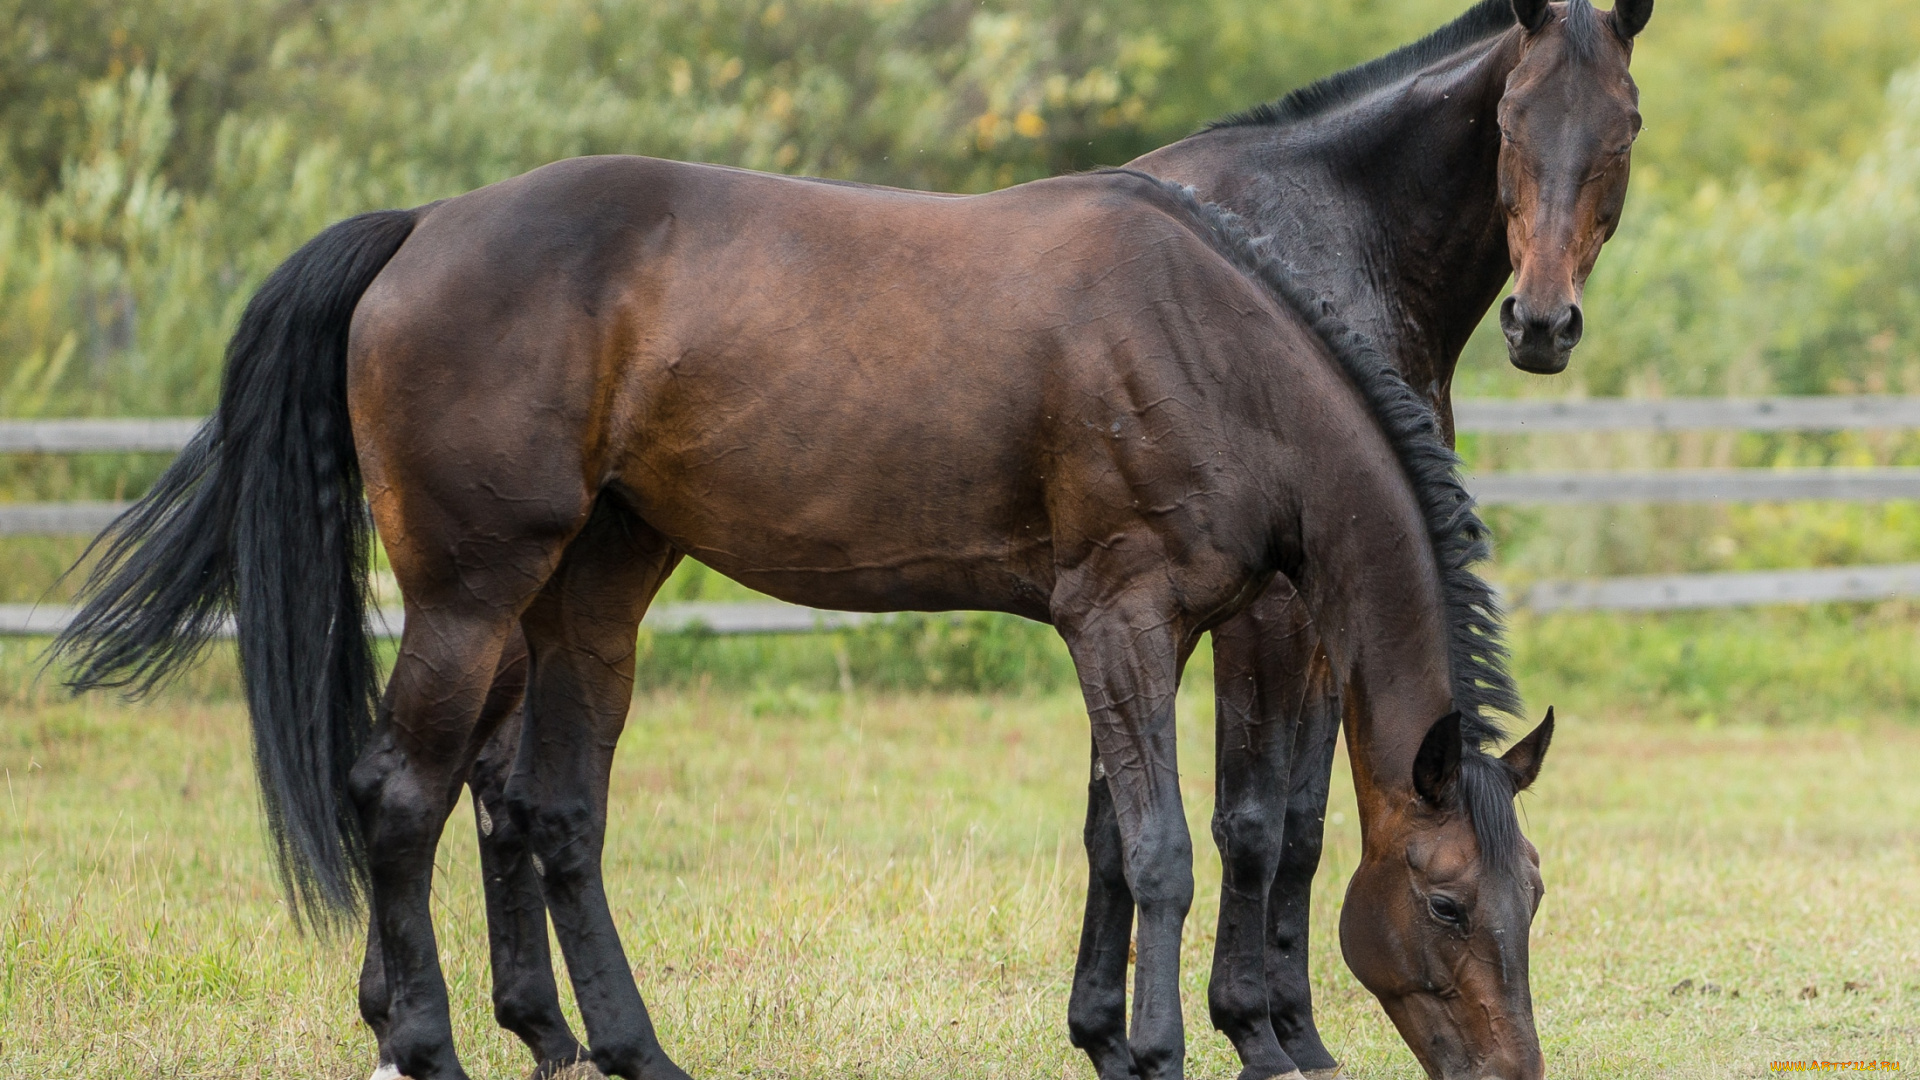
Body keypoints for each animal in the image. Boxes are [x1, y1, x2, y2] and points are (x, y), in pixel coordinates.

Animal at [60, 161, 1551, 1076]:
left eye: (1532, 893)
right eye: (1445, 902)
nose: (1510, 1071)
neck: (1213, 347)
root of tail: (423, 227)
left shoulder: (1159, 632)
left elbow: (1112, 847)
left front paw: (1113, 1041)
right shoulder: (1121, 619)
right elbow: (1165, 851)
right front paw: (1167, 1049)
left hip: (589, 597)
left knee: (552, 815)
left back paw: (630, 1050)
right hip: (471, 599)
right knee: (402, 797)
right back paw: (423, 1043)